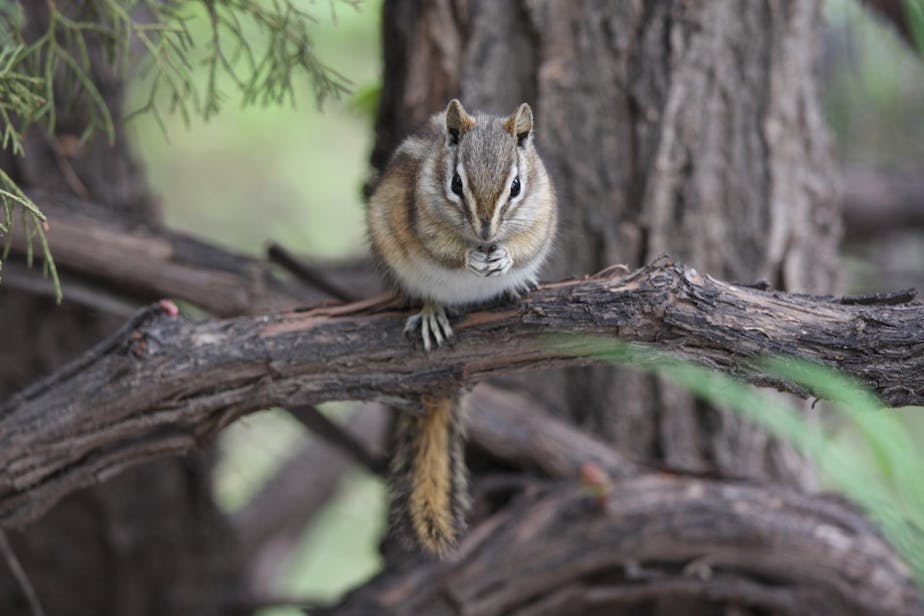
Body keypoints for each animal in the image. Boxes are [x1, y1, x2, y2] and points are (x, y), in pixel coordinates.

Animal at [367, 99, 558, 555]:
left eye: (516, 187)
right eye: (456, 183)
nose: (486, 231)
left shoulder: (542, 211)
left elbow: (526, 243)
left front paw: (506, 259)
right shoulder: (423, 216)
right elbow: (443, 247)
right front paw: (470, 257)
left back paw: (515, 284)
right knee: (425, 292)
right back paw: (433, 312)